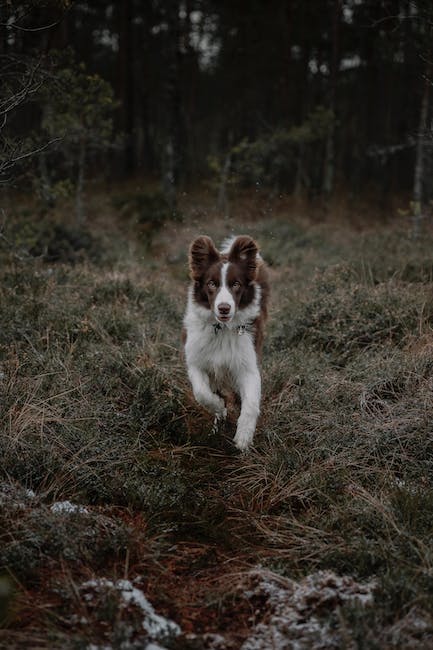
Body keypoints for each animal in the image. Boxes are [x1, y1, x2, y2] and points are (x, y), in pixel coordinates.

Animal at [183, 234, 270, 450]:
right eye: (211, 284)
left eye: (236, 284)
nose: (224, 308)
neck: (221, 329)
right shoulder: (196, 361)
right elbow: (202, 393)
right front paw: (220, 409)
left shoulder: (248, 365)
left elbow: (251, 404)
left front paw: (243, 438)